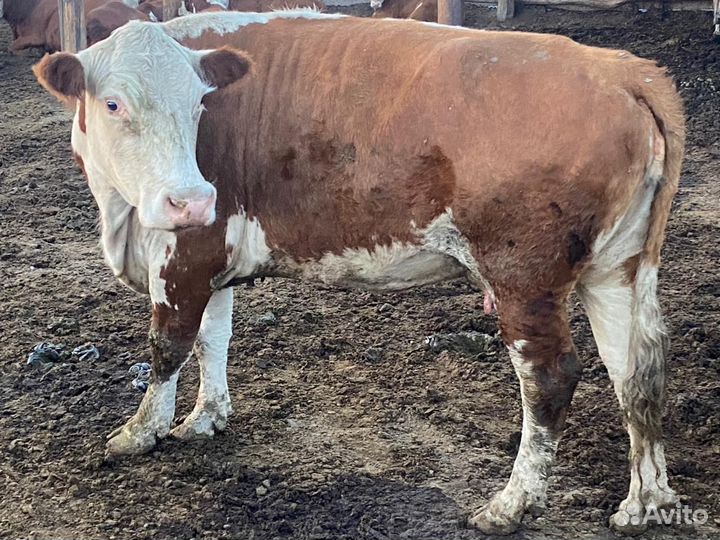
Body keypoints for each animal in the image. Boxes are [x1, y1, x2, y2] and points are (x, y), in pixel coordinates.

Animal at [33, 10, 685, 535]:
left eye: (198, 104)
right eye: (113, 102)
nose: (191, 199)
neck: (123, 213)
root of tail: (623, 70)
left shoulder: (187, 249)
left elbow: (168, 344)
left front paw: (139, 432)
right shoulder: (210, 252)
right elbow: (212, 338)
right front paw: (206, 417)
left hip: (525, 274)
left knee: (550, 379)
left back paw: (511, 504)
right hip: (620, 268)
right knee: (637, 371)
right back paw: (645, 503)